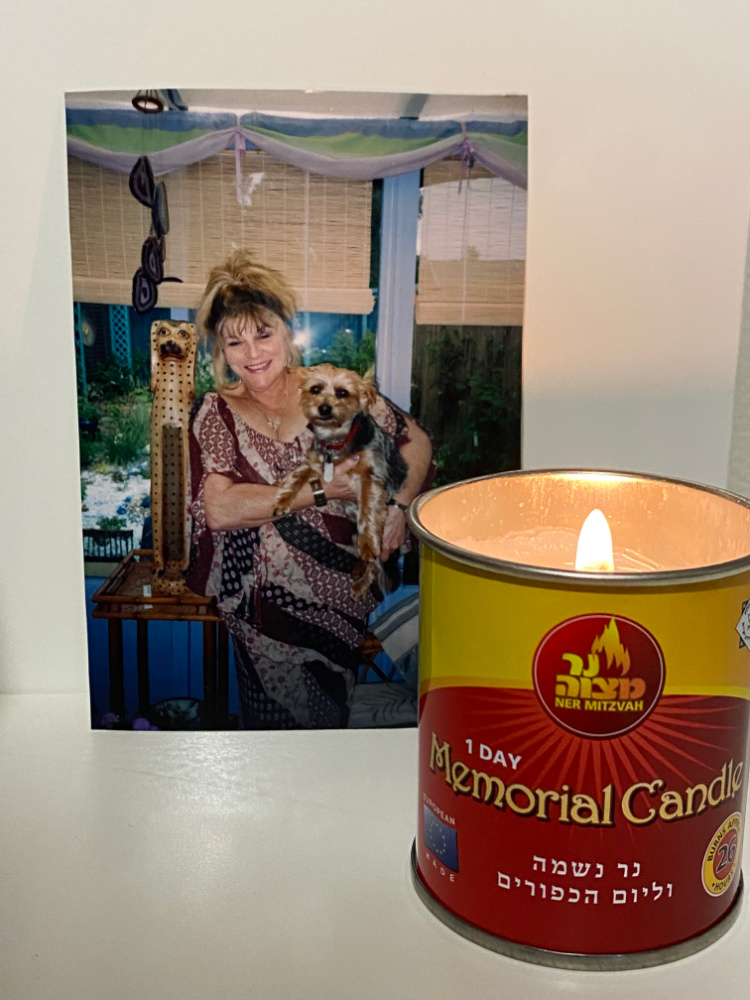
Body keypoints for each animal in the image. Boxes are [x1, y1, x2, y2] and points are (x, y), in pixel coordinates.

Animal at [274, 368, 408, 600]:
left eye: (342, 393)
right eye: (315, 389)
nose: (324, 408)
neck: (336, 439)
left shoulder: (371, 477)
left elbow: (368, 512)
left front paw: (367, 545)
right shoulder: (315, 461)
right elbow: (296, 475)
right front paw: (283, 499)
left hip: (383, 542)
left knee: (375, 564)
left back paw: (361, 583)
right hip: (352, 534)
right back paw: (358, 569)